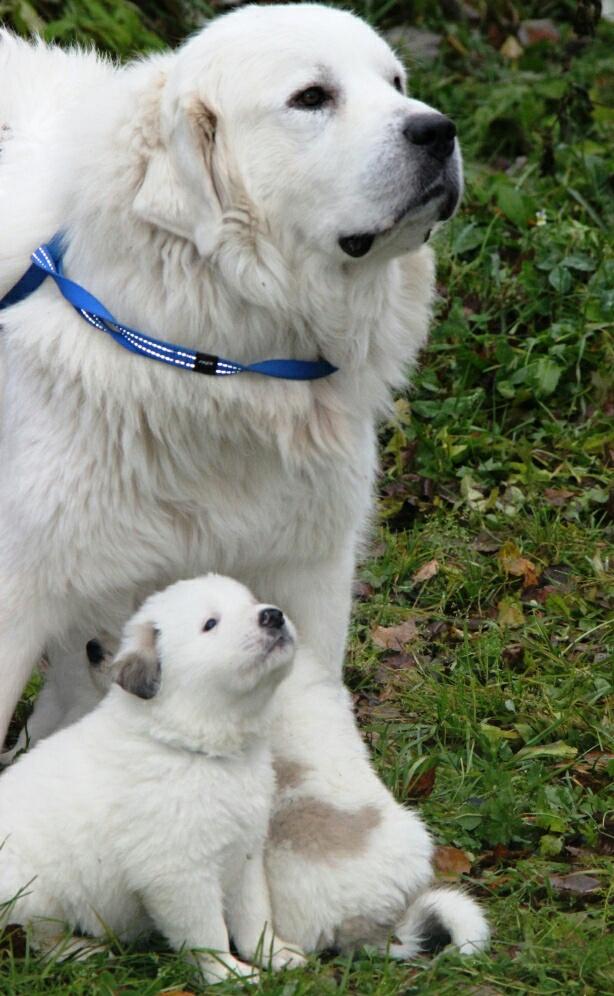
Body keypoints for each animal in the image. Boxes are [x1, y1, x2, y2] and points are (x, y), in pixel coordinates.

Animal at [0, 572, 306, 984]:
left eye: (252, 602)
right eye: (211, 624)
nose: (273, 615)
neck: (196, 749)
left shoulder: (244, 853)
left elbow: (254, 914)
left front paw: (274, 954)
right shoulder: (178, 873)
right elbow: (207, 932)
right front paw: (229, 975)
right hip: (31, 892)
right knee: (37, 937)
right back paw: (82, 950)